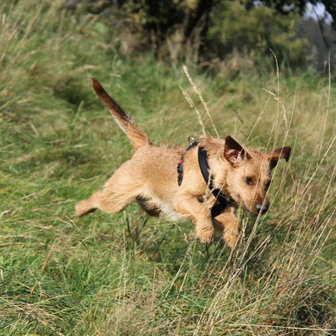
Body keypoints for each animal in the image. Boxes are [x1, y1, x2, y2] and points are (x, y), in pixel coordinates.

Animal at [75, 78, 290, 247]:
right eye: (248, 180)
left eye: (268, 183)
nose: (263, 208)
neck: (214, 174)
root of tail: (145, 146)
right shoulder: (182, 198)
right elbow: (201, 211)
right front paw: (206, 233)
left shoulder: (220, 212)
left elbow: (229, 222)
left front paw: (232, 240)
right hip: (116, 199)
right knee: (97, 198)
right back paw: (80, 210)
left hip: (152, 206)